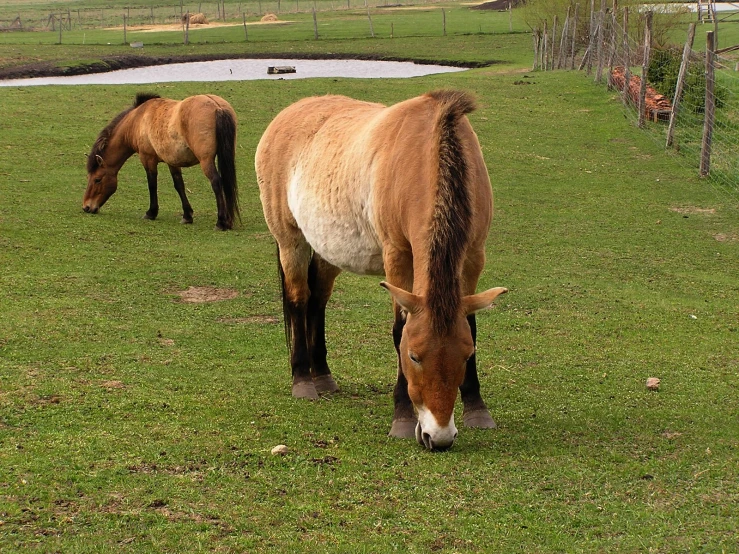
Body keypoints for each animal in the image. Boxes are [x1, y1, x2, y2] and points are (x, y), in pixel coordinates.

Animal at [84, 92, 240, 229]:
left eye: (97, 179)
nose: (86, 207)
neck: (138, 120)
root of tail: (217, 107)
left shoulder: (148, 159)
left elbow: (152, 184)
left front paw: (151, 213)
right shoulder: (172, 161)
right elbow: (179, 185)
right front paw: (187, 216)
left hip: (206, 161)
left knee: (216, 182)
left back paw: (221, 222)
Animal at [258, 87, 506, 448]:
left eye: (464, 354)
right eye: (413, 356)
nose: (438, 437)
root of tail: (286, 115)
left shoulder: (473, 256)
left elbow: (471, 325)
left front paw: (477, 409)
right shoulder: (398, 255)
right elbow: (399, 329)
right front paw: (402, 418)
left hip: (328, 249)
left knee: (318, 301)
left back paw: (323, 376)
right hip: (291, 241)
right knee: (299, 300)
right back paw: (303, 380)